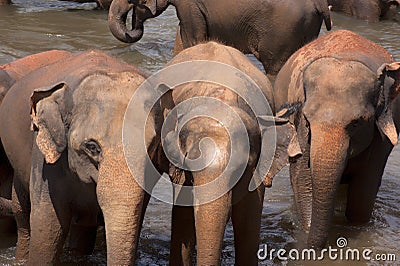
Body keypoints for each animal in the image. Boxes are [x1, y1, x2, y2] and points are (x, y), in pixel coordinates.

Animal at [107, 0, 332, 76]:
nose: (136, 22)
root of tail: (320, 3)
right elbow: (182, 42)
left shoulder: (191, 6)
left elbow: (194, 40)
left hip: (283, 30)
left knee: (274, 68)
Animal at [274, 29, 400, 249]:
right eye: (307, 120)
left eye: (357, 123)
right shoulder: (300, 128)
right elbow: (302, 180)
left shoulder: (382, 135)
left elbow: (363, 195)